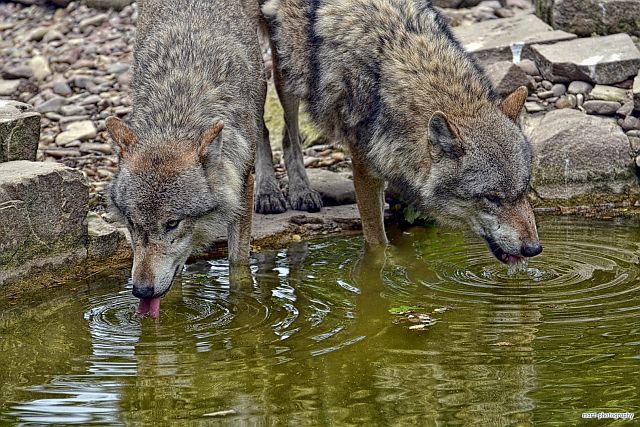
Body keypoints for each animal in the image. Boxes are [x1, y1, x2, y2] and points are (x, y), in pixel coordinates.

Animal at [106, 0, 264, 316]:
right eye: (132, 223)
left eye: (172, 224)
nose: (141, 290)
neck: (179, 107)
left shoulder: (244, 183)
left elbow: (239, 264)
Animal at [262, 0, 544, 266]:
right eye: (491, 198)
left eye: (524, 190)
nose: (534, 249)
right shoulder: (364, 169)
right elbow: (378, 244)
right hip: (281, 71)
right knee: (276, 130)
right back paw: (279, 192)